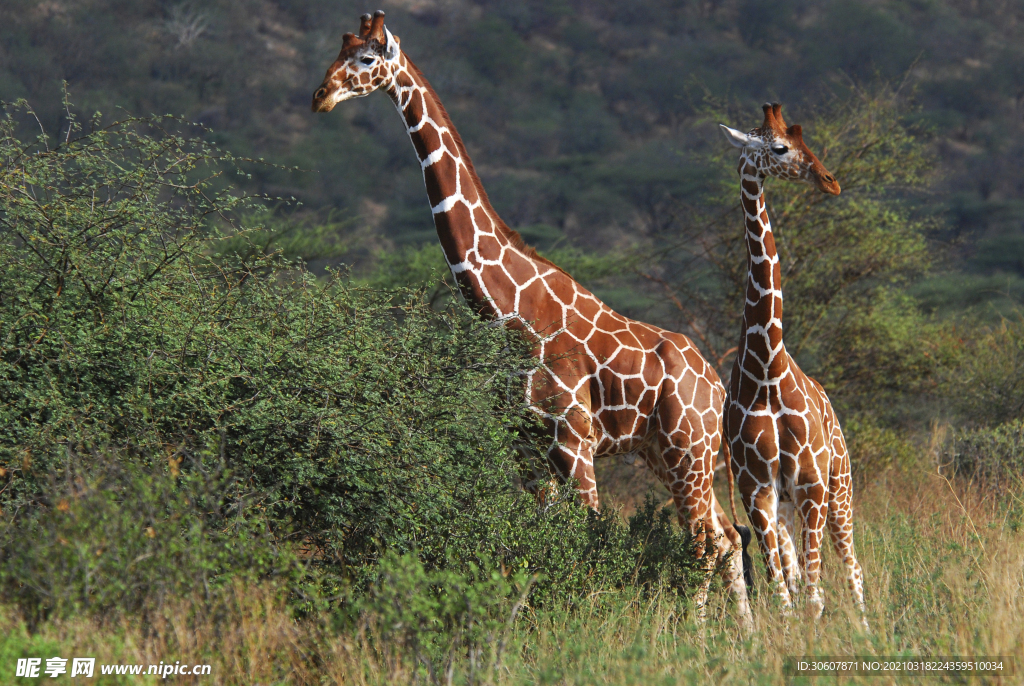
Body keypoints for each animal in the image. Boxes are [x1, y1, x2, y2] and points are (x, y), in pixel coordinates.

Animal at [311, 10, 753, 626]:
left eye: (367, 58)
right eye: (338, 49)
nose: (320, 95)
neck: (511, 314)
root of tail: (715, 385)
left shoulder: (574, 442)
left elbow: (588, 540)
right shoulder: (528, 449)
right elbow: (533, 547)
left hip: (688, 453)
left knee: (704, 542)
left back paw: (693, 630)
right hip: (669, 455)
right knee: (728, 538)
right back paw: (742, 634)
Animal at [716, 103, 868, 630]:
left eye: (806, 140)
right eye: (780, 148)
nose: (830, 181)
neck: (767, 371)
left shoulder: (810, 484)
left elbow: (814, 596)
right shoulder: (758, 492)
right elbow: (787, 595)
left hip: (840, 487)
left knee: (853, 567)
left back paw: (869, 633)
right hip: (789, 505)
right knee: (802, 577)